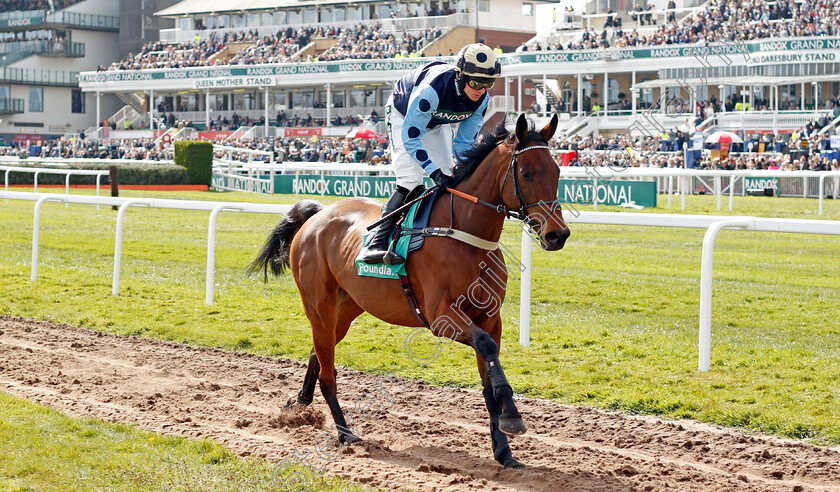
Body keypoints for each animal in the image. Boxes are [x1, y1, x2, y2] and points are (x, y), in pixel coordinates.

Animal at [249, 112, 572, 468]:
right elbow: (486, 350)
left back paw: (301, 402)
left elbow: (489, 374)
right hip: (319, 305)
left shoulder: (490, 318)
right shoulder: (442, 318)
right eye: (526, 173)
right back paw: (345, 434)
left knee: (318, 354)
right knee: (328, 372)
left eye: (557, 171)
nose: (557, 234)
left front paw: (504, 451)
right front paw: (512, 416)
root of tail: (317, 215)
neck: (465, 235)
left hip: (348, 307)